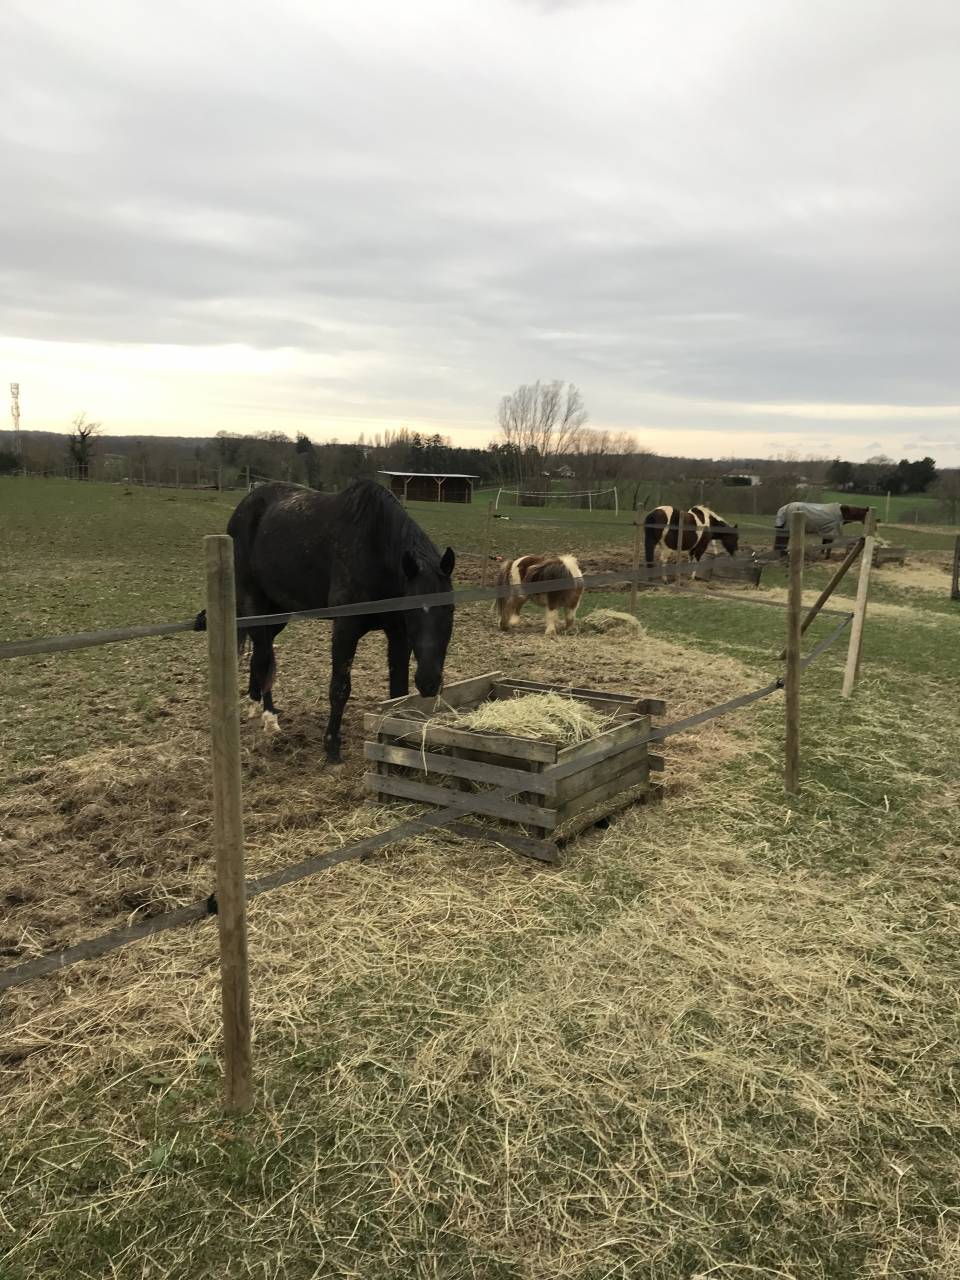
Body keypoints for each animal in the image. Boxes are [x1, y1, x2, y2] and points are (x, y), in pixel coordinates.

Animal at [197, 480, 455, 762]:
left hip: (278, 614)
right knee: (263, 658)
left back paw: (263, 707)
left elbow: (399, 691)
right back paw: (267, 719)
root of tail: (244, 507)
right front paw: (332, 747)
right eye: (414, 612)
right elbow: (340, 688)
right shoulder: (345, 629)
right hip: (254, 605)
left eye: (450, 609)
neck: (374, 550)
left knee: (262, 657)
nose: (430, 683)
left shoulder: (399, 633)